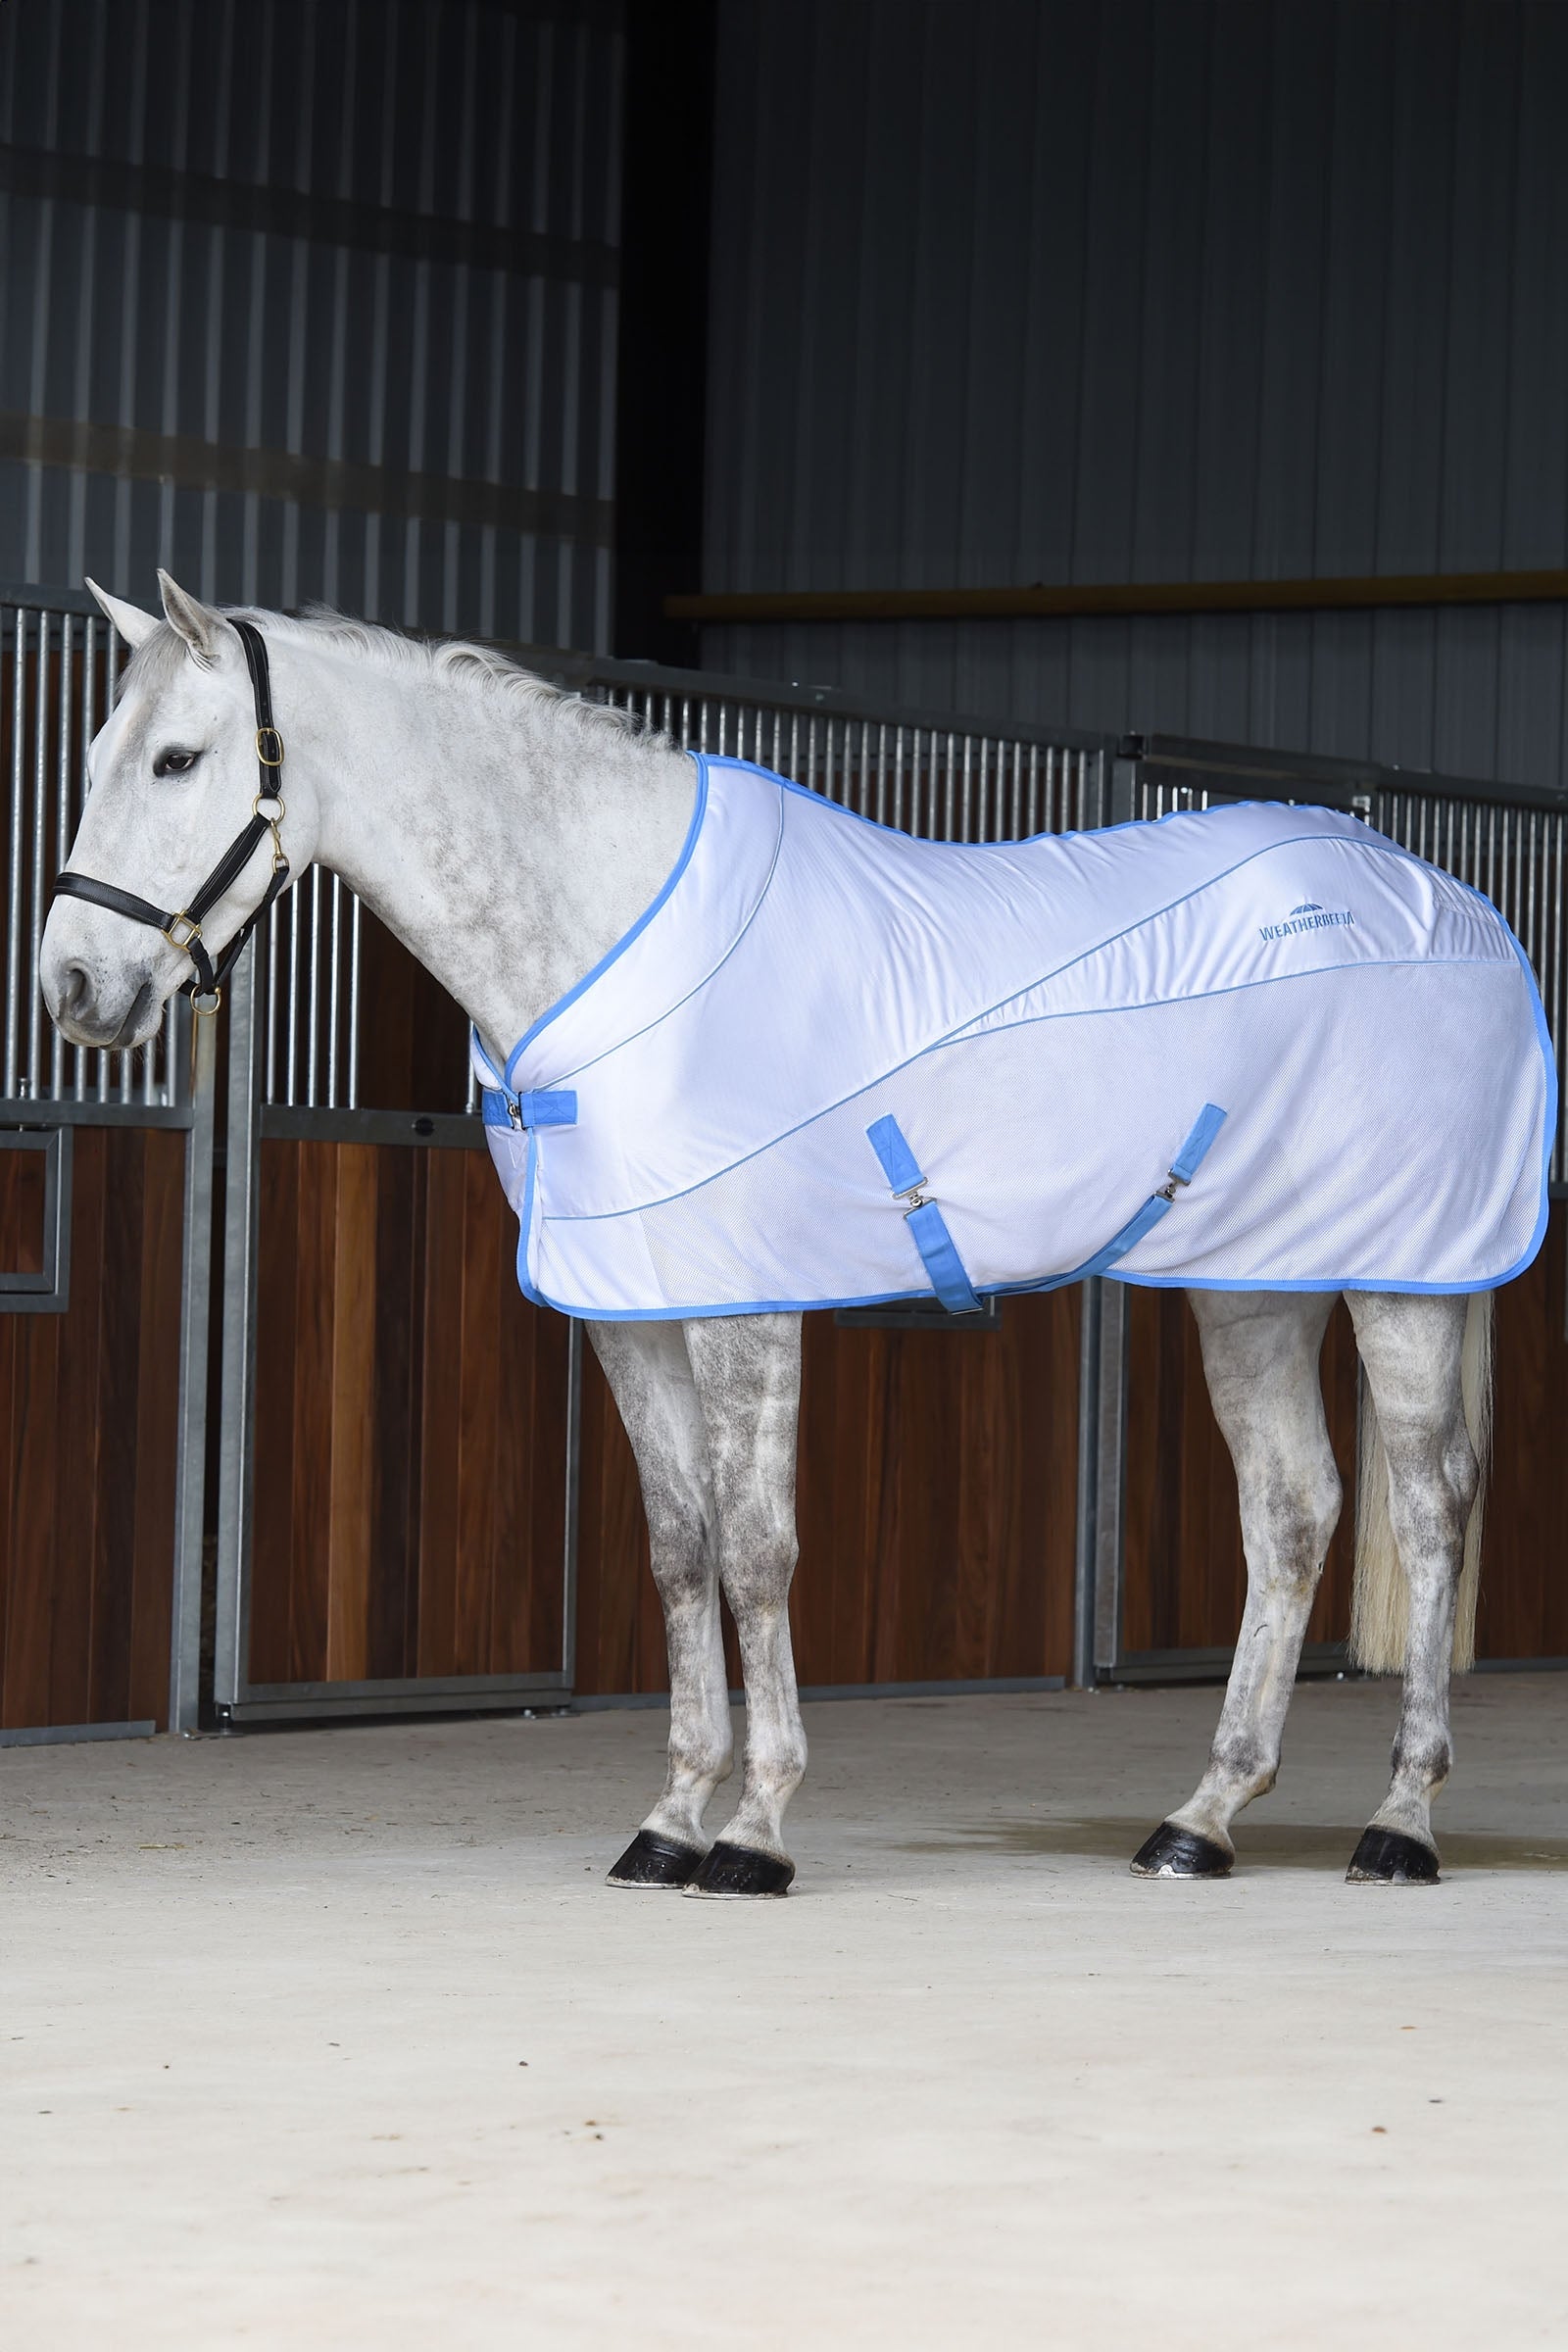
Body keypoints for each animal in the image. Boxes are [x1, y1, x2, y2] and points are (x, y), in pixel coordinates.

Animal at [41, 572, 1527, 1897]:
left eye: (176, 759)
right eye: (102, 752)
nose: (71, 987)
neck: (611, 927)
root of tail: (1438, 897)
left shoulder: (744, 1310)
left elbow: (759, 1552)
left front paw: (755, 1833)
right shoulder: (632, 1315)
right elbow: (679, 1550)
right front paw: (669, 1822)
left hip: (1403, 1280)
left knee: (1430, 1508)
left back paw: (1400, 1824)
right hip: (1255, 1284)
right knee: (1292, 1509)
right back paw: (1201, 1821)